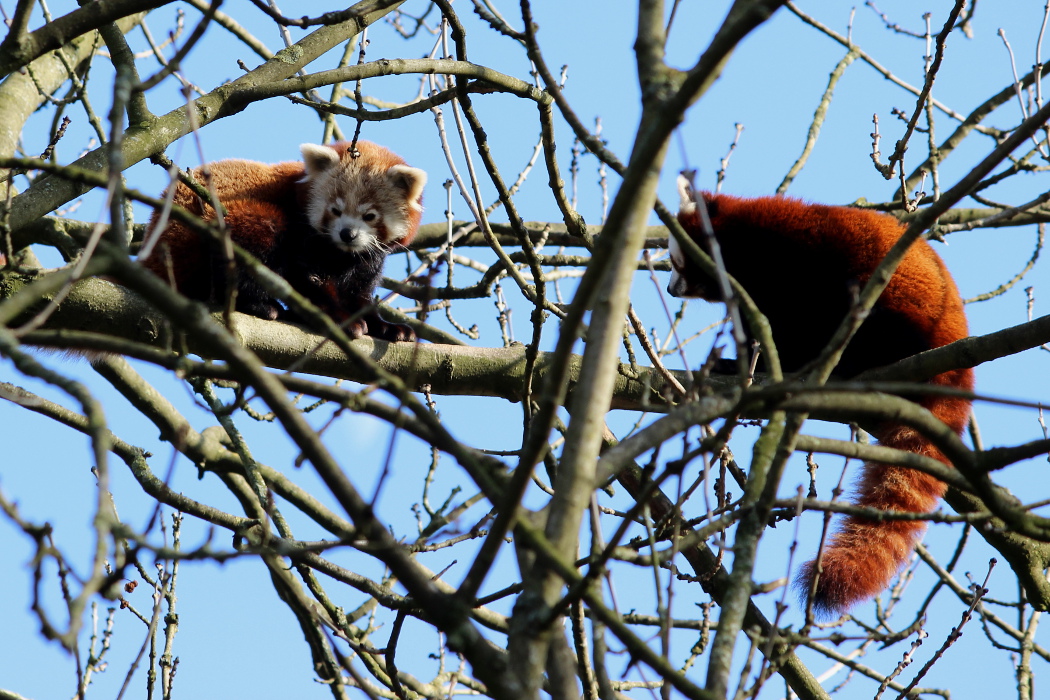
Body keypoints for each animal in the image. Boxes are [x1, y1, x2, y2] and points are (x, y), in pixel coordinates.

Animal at [141, 140, 424, 342]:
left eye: (369, 216)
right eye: (335, 210)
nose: (348, 234)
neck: (339, 253)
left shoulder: (368, 258)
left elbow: (359, 293)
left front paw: (386, 327)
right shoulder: (302, 234)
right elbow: (304, 279)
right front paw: (340, 318)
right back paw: (259, 305)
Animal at [667, 178, 970, 617]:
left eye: (675, 262)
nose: (670, 288)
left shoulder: (793, 260)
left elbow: (792, 321)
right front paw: (739, 363)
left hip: (901, 306)